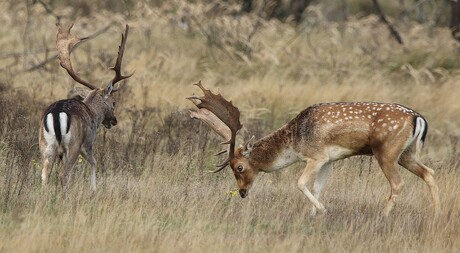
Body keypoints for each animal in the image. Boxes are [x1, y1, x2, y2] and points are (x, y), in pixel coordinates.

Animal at [38, 24, 133, 190]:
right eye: (114, 102)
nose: (114, 121)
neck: (93, 113)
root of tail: (55, 113)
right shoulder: (88, 141)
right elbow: (94, 162)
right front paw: (94, 188)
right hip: (73, 144)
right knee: (64, 174)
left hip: (45, 144)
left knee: (45, 175)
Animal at [189, 81, 440, 217]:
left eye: (239, 167)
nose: (242, 192)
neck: (295, 141)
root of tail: (418, 118)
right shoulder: (329, 160)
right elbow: (318, 187)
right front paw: (313, 214)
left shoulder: (316, 156)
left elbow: (301, 183)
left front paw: (323, 210)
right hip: (407, 154)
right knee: (429, 172)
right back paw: (436, 213)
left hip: (386, 152)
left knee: (398, 183)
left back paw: (383, 215)